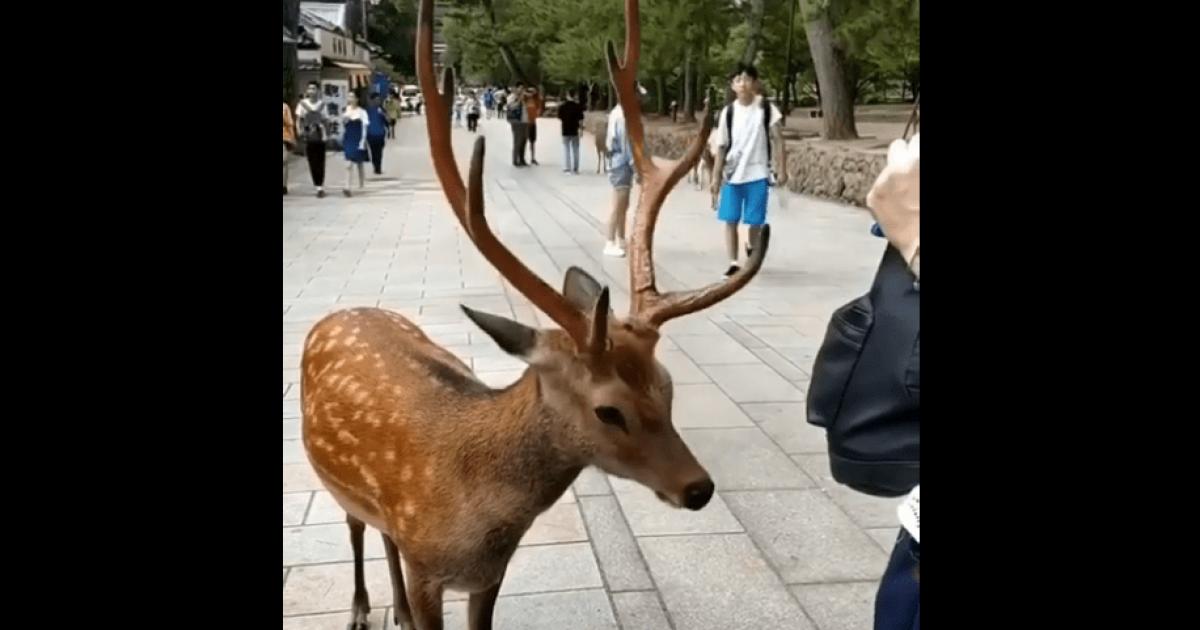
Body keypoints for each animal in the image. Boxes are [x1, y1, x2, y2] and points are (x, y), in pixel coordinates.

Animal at [299, 0, 770, 629]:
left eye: (667, 386)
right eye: (608, 410)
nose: (698, 489)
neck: (470, 526)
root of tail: (342, 312)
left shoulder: (490, 574)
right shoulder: (428, 572)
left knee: (382, 535)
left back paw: (392, 609)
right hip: (331, 479)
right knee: (356, 526)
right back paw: (360, 608)